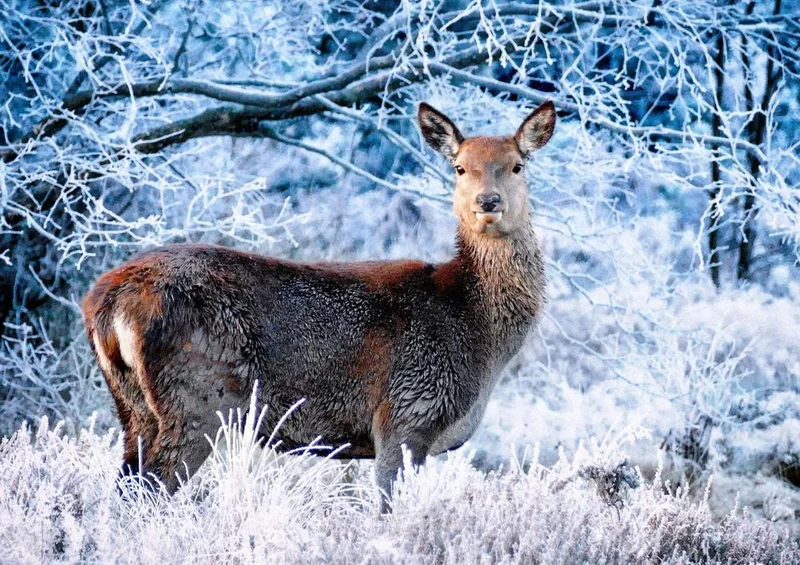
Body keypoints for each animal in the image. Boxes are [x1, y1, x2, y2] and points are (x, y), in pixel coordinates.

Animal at [82, 100, 555, 510]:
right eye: (459, 167)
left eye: (517, 165)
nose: (487, 202)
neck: (476, 330)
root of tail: (105, 303)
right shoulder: (406, 414)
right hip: (197, 397)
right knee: (148, 492)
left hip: (133, 408)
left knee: (124, 487)